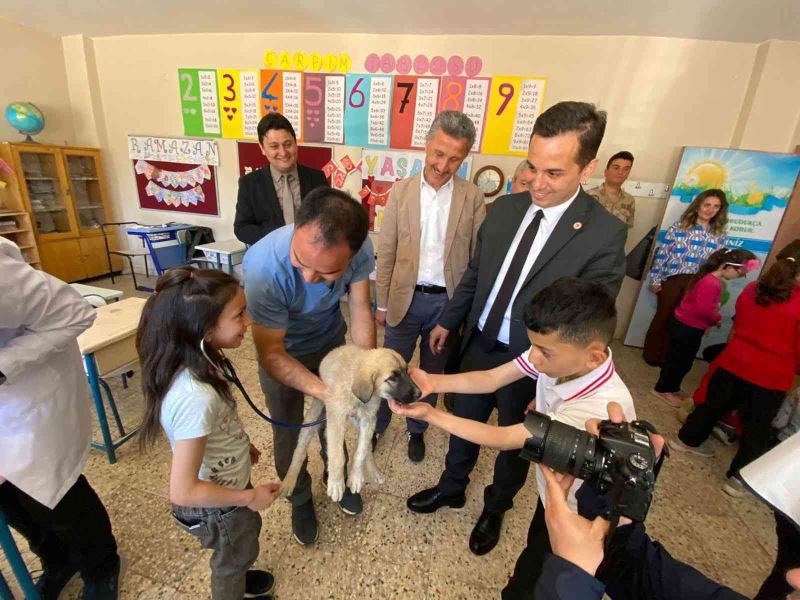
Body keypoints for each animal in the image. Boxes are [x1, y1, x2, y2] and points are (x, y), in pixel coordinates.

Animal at [280, 344, 422, 504]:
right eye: (392, 378)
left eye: (407, 371)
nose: (419, 394)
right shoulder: (336, 416)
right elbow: (337, 455)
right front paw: (336, 483)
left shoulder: (368, 419)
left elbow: (360, 452)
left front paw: (355, 477)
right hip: (313, 417)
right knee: (300, 450)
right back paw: (289, 481)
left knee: (365, 449)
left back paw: (374, 472)